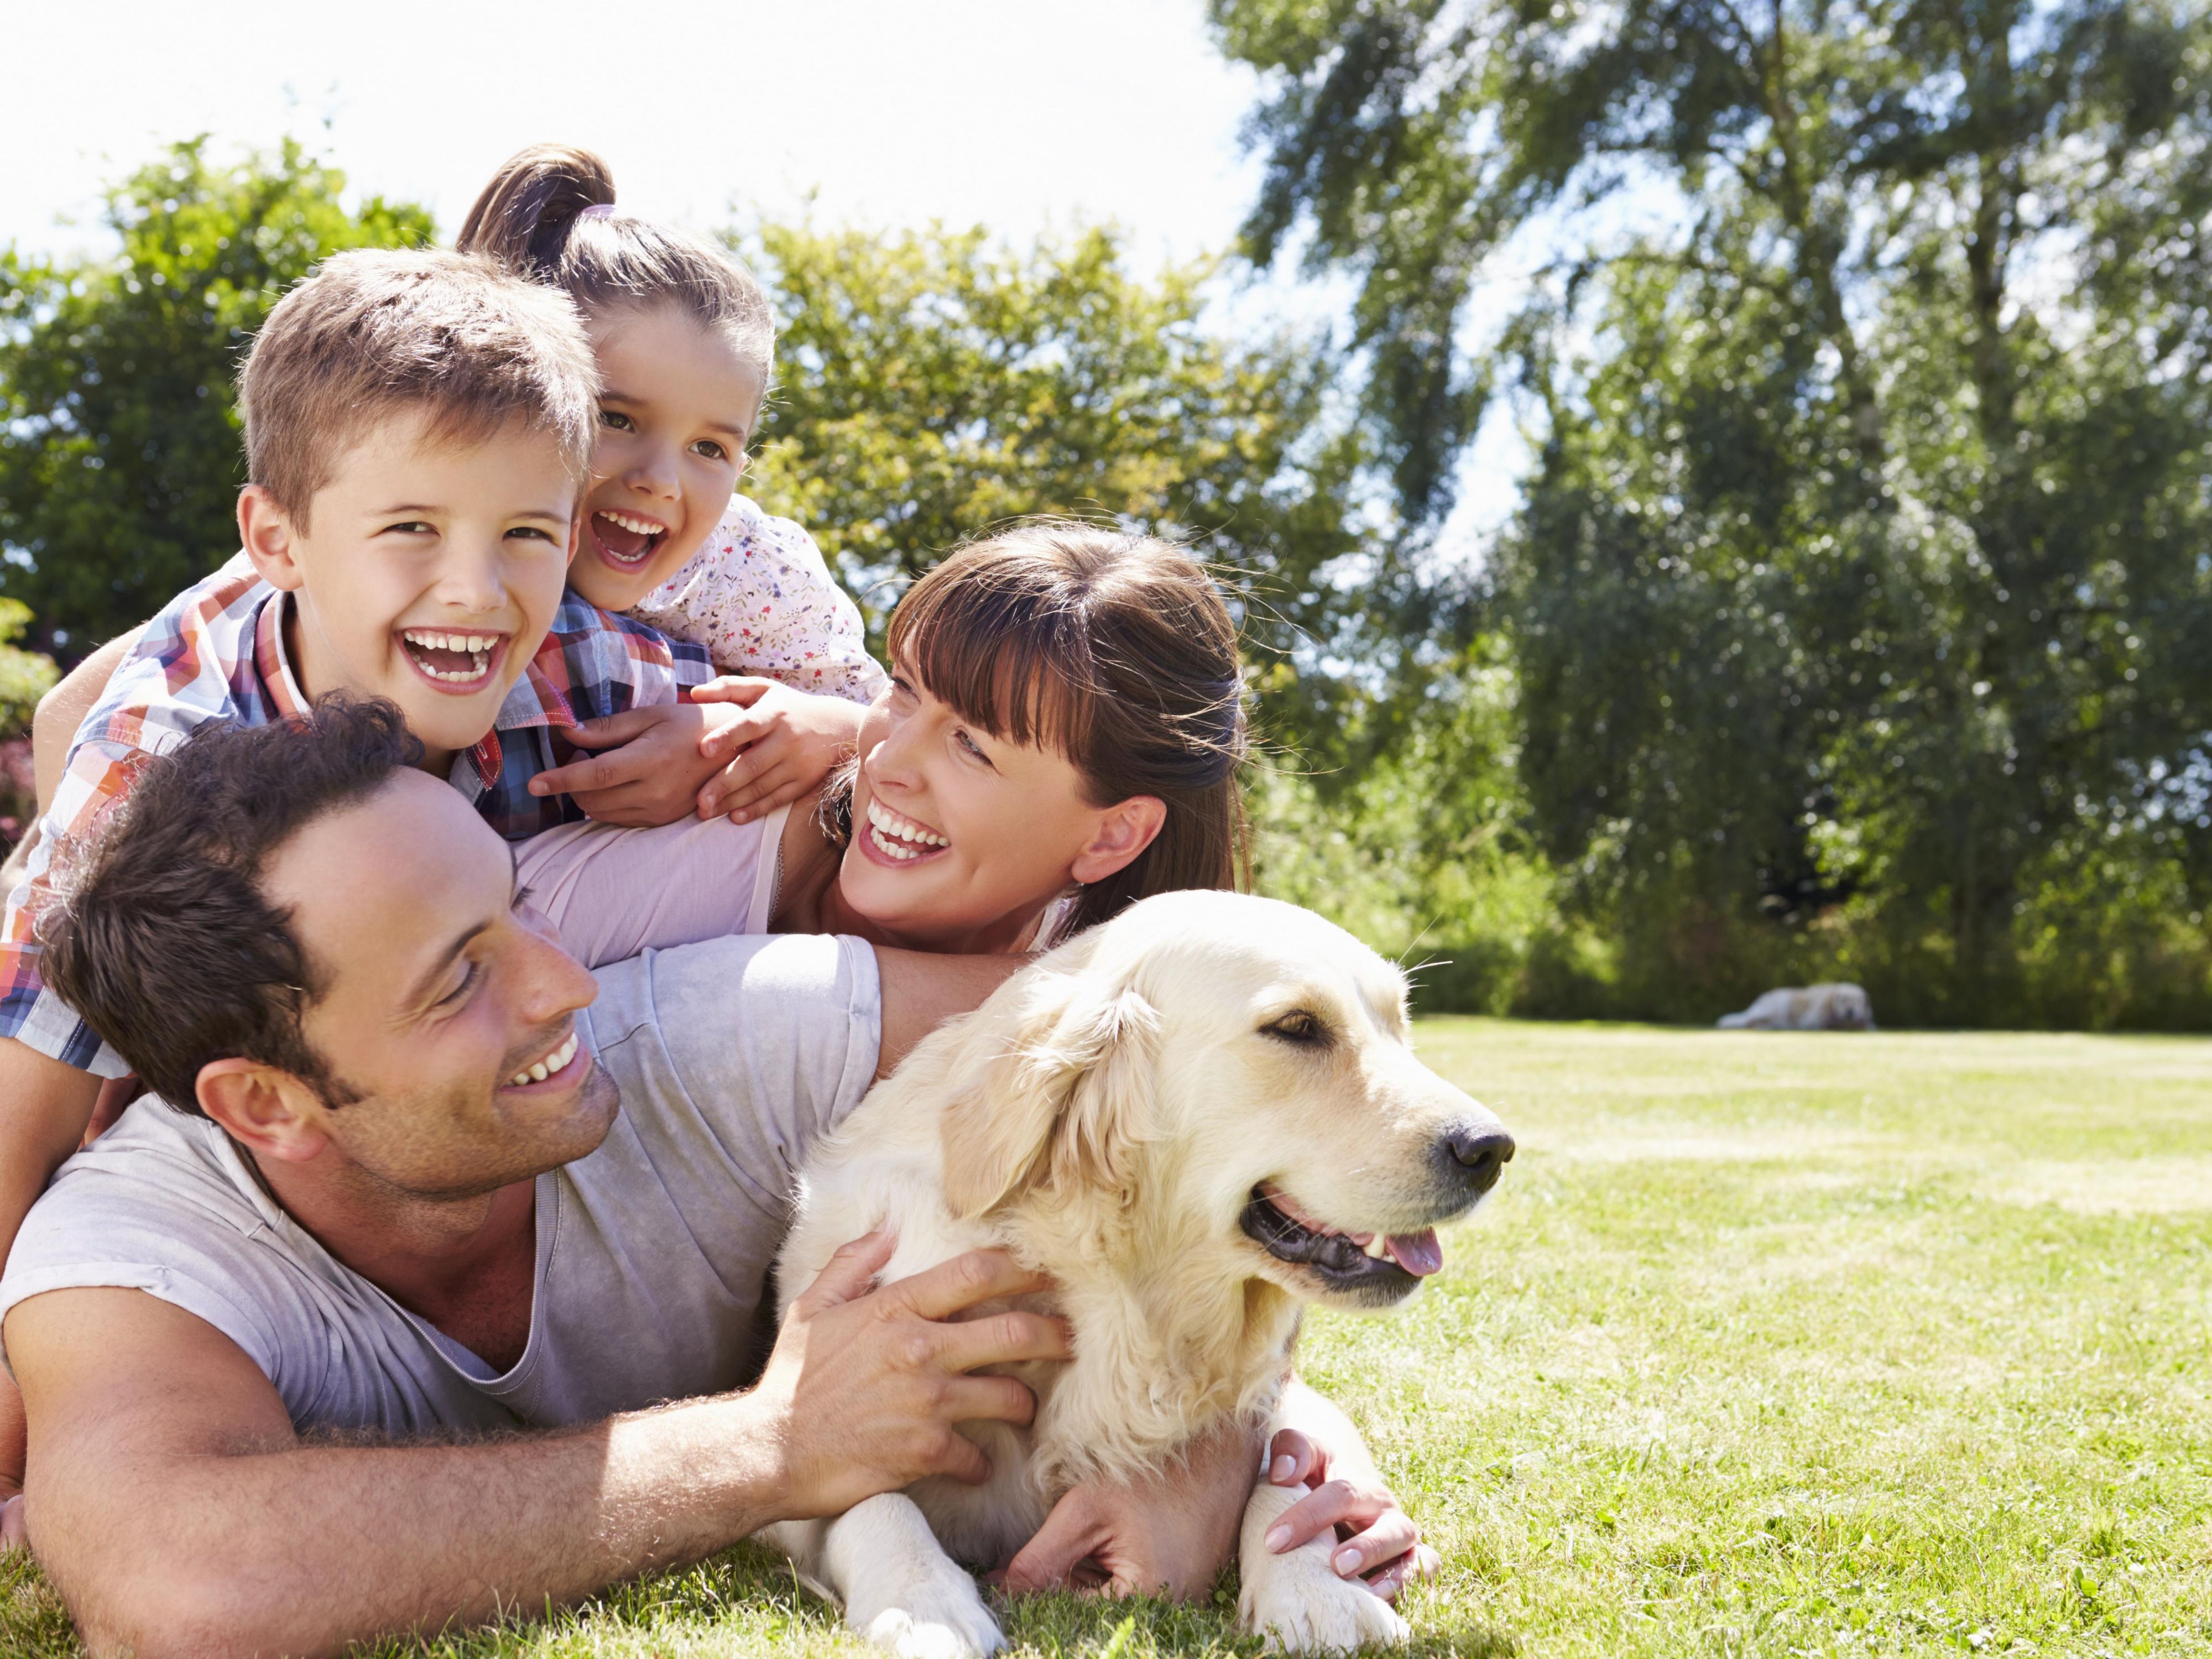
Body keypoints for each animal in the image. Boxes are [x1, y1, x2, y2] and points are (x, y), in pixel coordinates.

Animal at [765, 898, 1522, 1659]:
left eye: (1399, 1026)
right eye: (1296, 1027)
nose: (1491, 1149)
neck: (1115, 1300)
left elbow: (1284, 1466)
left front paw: (1318, 1591)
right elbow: (867, 1491)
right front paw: (925, 1604)